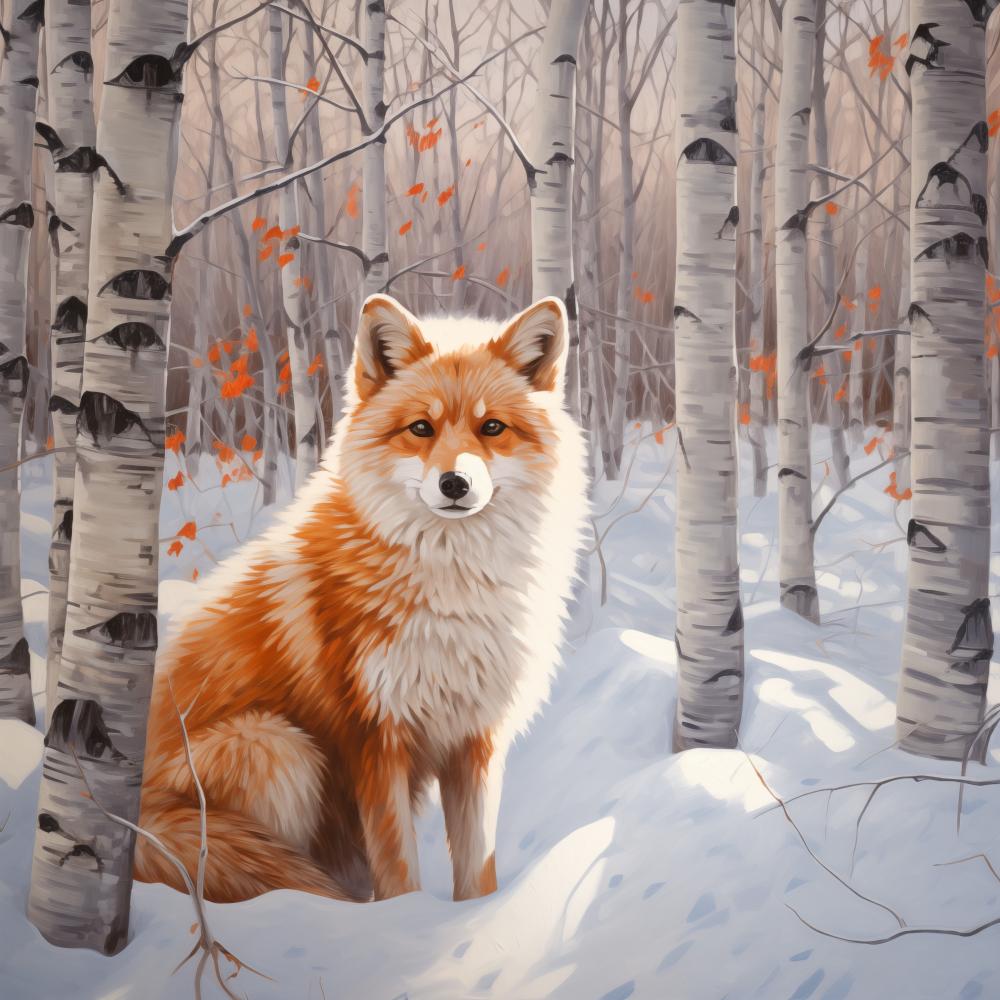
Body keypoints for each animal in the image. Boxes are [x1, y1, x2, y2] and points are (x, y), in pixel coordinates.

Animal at [135, 293, 588, 904]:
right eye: (421, 428)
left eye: (492, 427)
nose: (454, 484)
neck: (453, 593)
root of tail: (134, 826)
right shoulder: (376, 739)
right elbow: (398, 875)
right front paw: (401, 923)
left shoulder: (476, 741)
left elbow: (478, 873)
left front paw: (476, 921)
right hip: (277, 749)